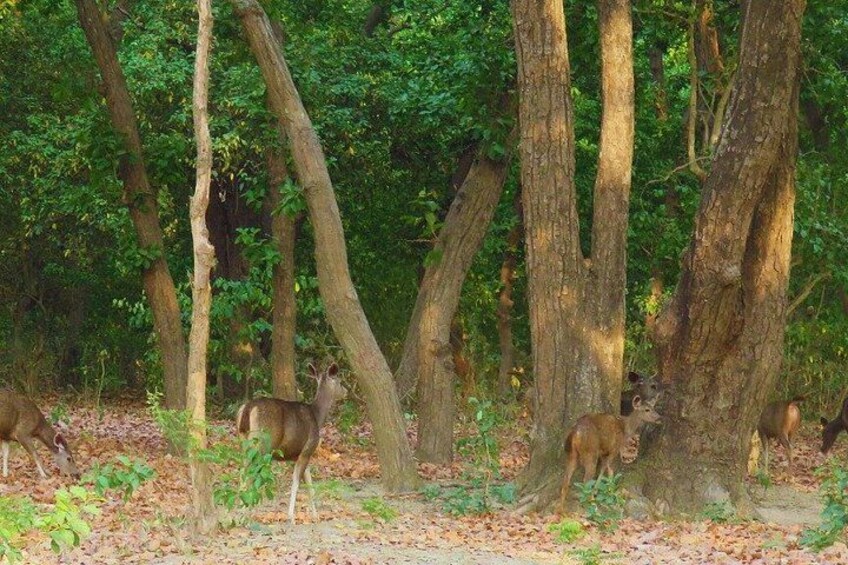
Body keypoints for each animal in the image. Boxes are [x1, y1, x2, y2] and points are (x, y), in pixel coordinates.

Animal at [236, 362, 347, 524]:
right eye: (339, 381)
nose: (346, 391)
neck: (317, 417)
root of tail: (248, 408)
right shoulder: (307, 449)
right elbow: (296, 483)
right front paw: (291, 516)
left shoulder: (300, 454)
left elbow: (310, 484)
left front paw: (316, 516)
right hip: (262, 444)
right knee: (251, 474)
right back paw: (244, 514)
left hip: (243, 442)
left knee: (242, 472)